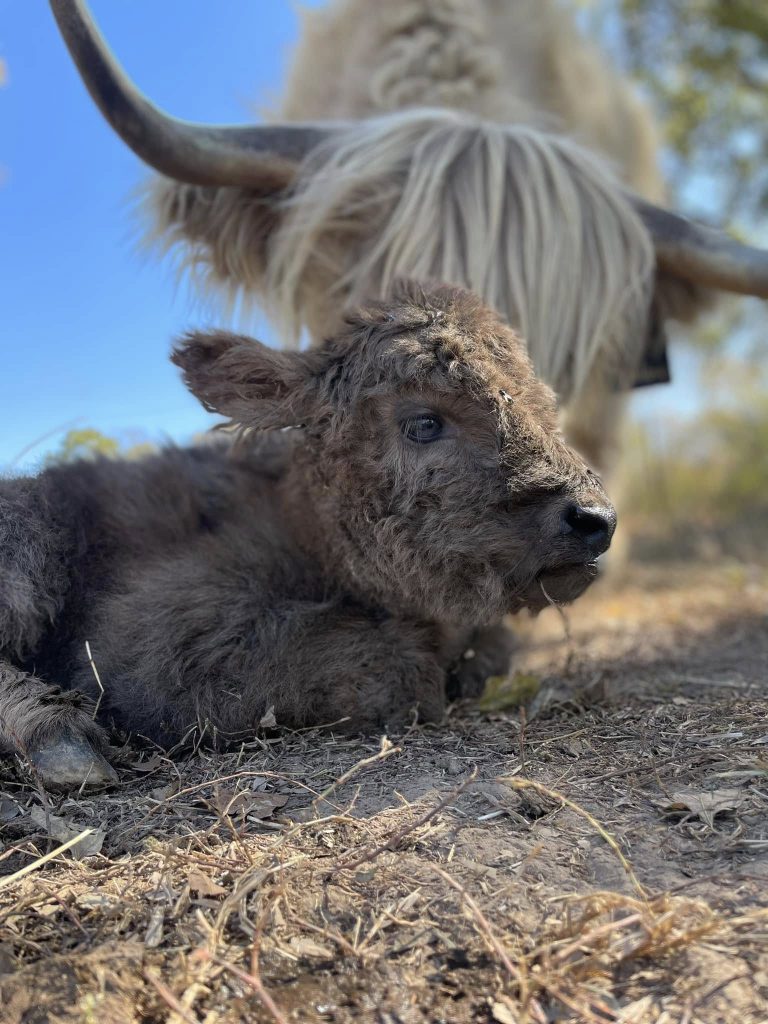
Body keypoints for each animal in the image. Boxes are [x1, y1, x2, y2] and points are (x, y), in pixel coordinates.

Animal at [0, 284, 615, 792]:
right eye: (423, 422)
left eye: (542, 404)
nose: (595, 518)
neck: (300, 524)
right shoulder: (153, 636)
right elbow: (395, 665)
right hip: (30, 540)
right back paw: (58, 737)